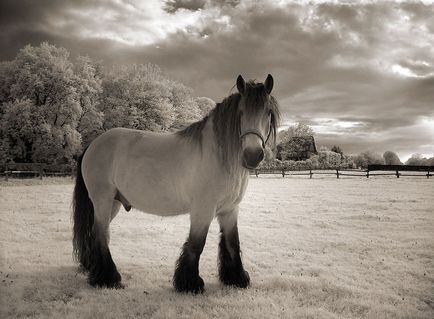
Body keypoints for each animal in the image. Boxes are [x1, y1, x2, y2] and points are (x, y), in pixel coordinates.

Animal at [72, 74, 280, 294]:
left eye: (268, 112)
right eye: (241, 112)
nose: (252, 155)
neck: (218, 156)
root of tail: (93, 144)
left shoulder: (230, 210)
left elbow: (232, 243)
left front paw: (236, 278)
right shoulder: (202, 210)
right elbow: (197, 244)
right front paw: (190, 283)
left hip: (113, 203)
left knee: (96, 234)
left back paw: (93, 268)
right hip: (102, 200)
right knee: (101, 235)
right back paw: (107, 278)